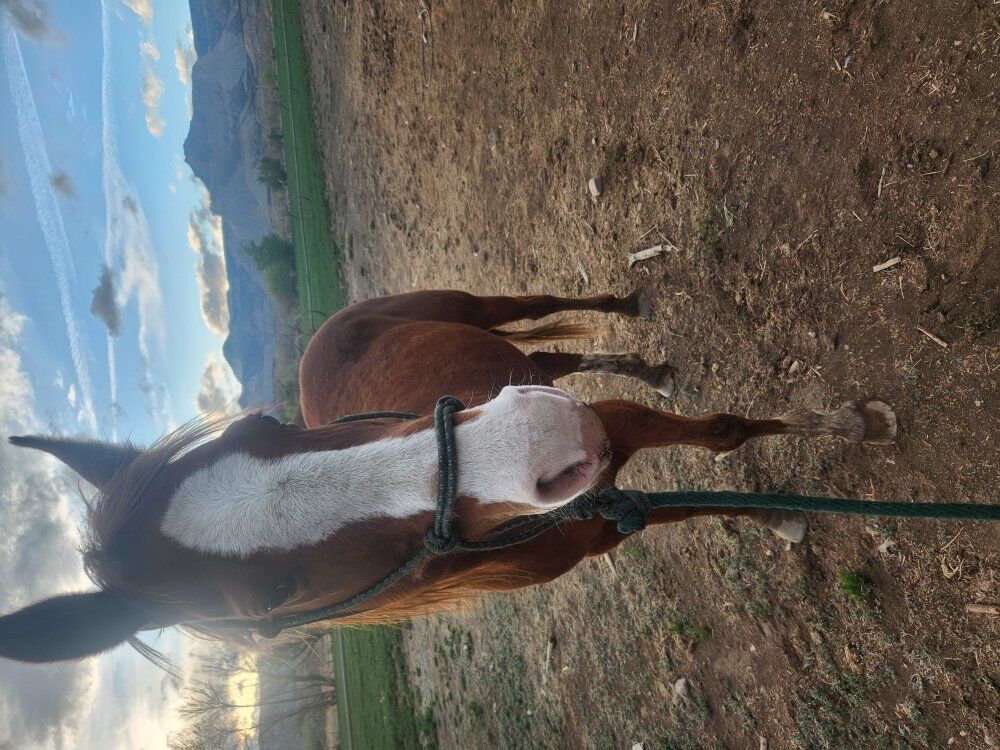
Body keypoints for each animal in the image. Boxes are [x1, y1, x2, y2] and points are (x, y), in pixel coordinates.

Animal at [0, 289, 896, 663]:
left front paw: (854, 423)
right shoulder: (604, 513)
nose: (541, 439)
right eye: (273, 600)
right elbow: (688, 497)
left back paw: (630, 308)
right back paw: (646, 359)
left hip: (476, 306)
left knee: (543, 309)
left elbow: (723, 433)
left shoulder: (610, 427)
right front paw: (778, 514)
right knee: (560, 356)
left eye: (267, 426)